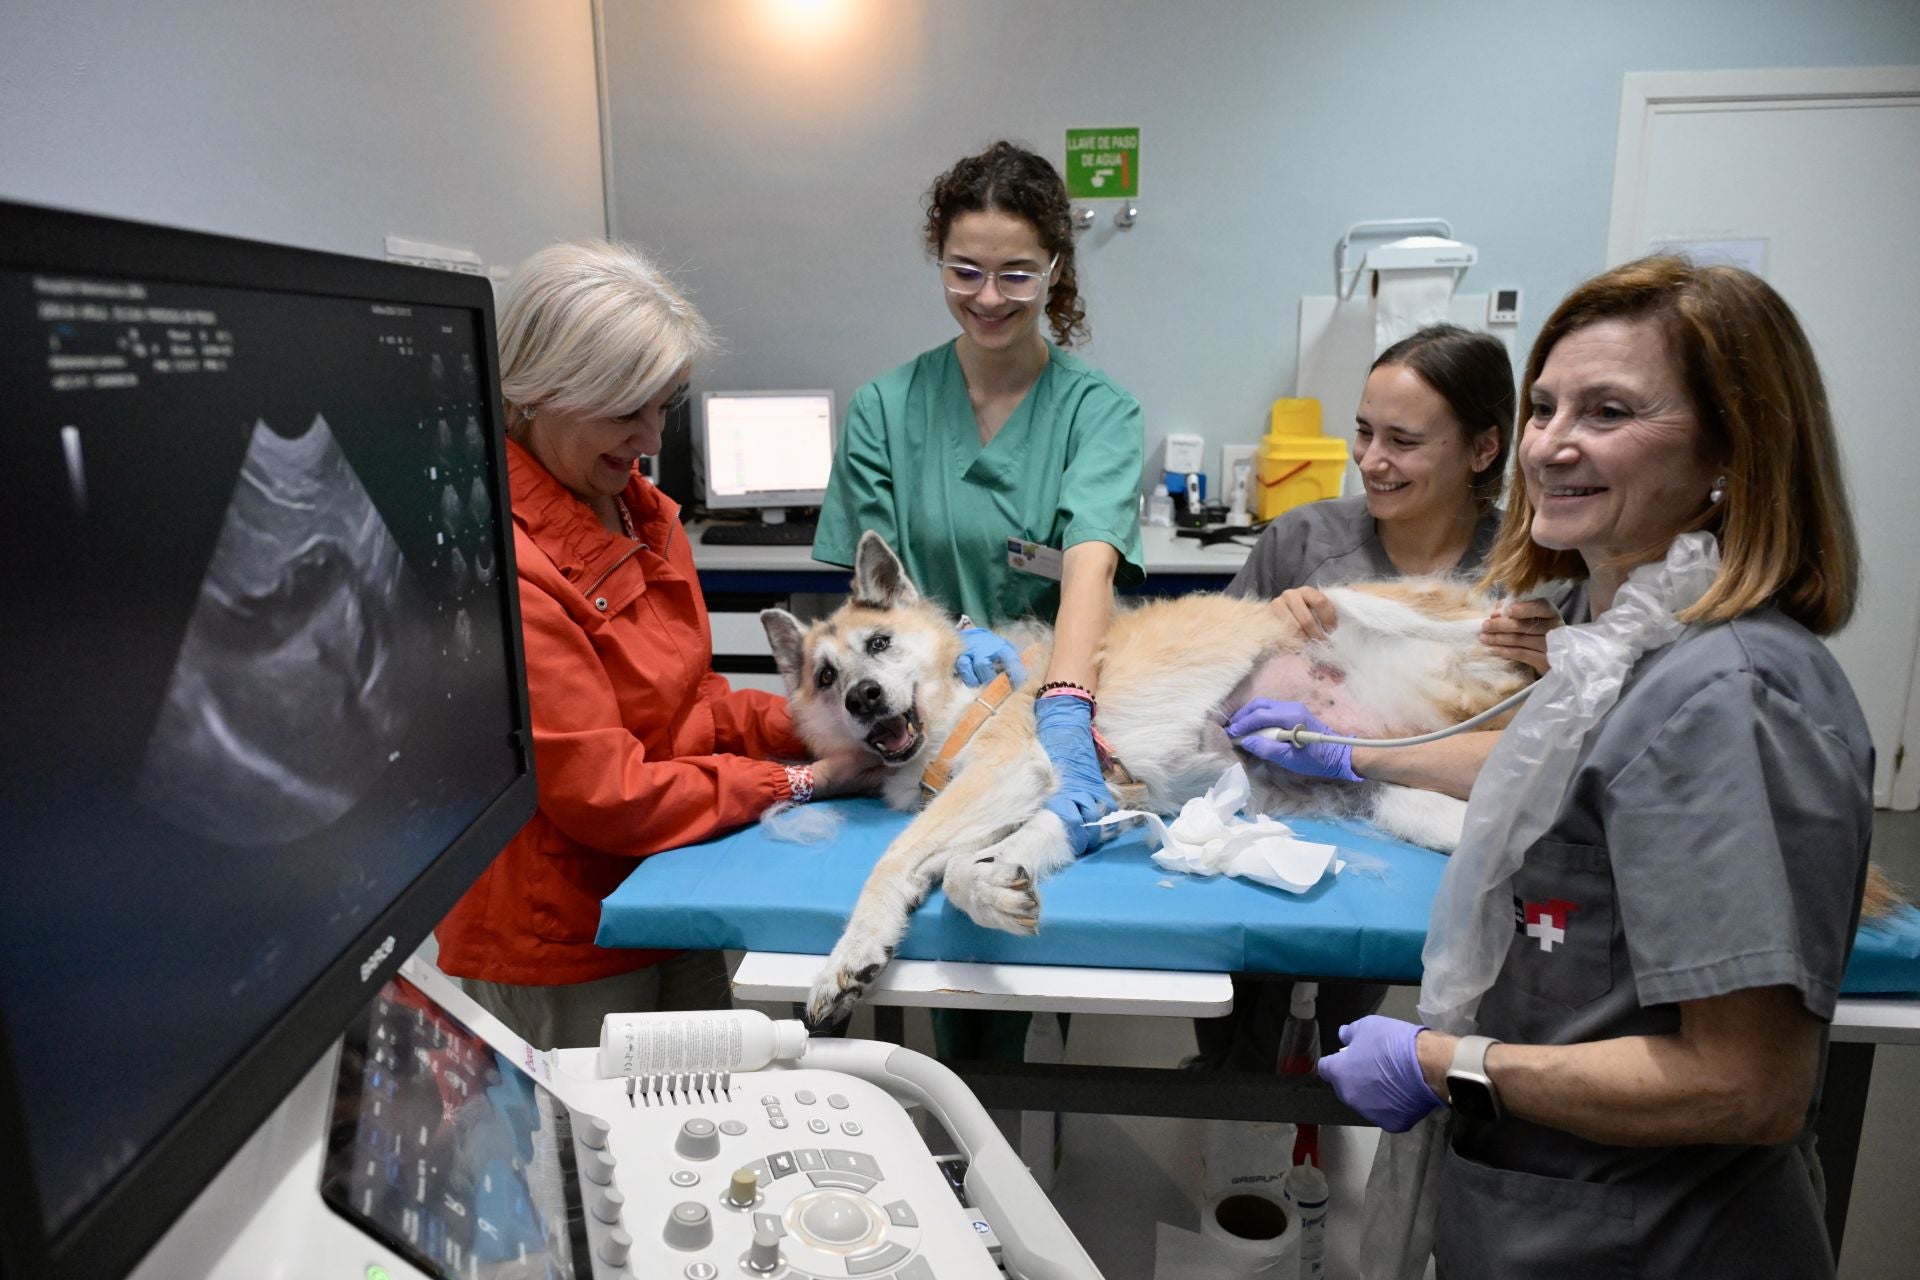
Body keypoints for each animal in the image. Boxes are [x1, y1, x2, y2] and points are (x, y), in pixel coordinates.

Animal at [756, 533, 1536, 1028]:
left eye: (879, 645)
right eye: (824, 677)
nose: (862, 698)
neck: (959, 700)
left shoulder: (1012, 768)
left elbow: (895, 862)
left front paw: (849, 954)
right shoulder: (1095, 800)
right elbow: (975, 865)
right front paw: (997, 892)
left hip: (1361, 605)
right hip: (1390, 793)